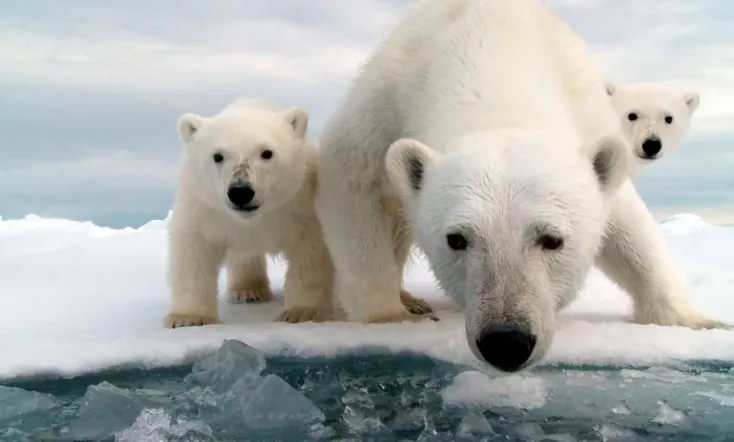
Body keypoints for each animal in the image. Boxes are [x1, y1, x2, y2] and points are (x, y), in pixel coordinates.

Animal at [163, 98, 336, 328]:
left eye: (267, 152)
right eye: (217, 156)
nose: (240, 191)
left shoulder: (299, 205)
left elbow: (310, 251)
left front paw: (301, 312)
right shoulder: (204, 208)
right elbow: (193, 250)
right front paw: (188, 318)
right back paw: (248, 290)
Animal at [313, 0, 727, 372]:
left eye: (553, 239)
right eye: (456, 239)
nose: (506, 341)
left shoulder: (588, 115)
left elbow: (630, 229)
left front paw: (700, 322)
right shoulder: (388, 100)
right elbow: (352, 180)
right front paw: (388, 316)